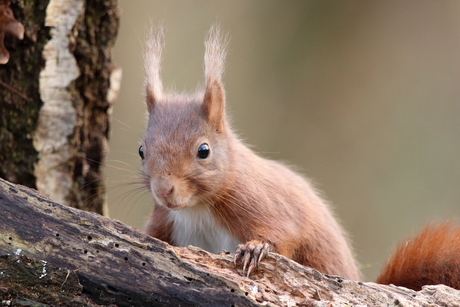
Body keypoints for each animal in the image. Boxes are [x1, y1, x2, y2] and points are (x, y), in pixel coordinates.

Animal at [141, 26, 460, 292]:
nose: (163, 191)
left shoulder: (261, 202)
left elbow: (284, 233)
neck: (197, 209)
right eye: (141, 150)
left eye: (203, 150)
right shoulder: (165, 220)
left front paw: (254, 249)